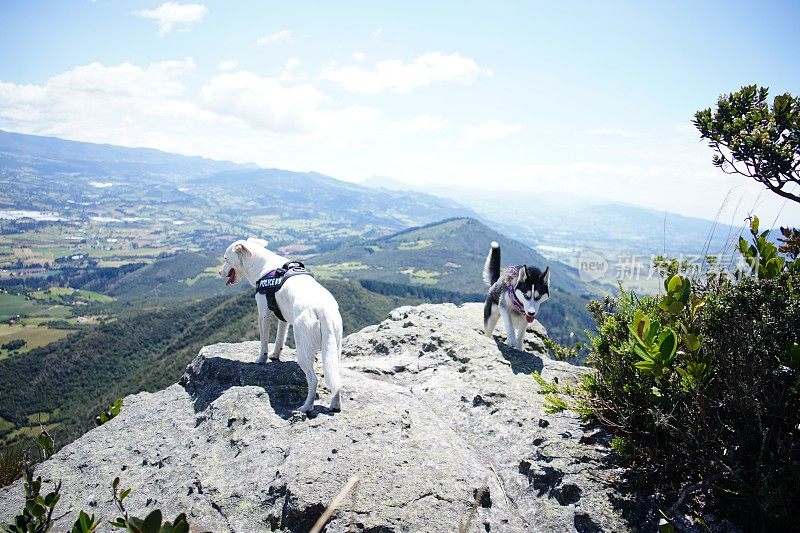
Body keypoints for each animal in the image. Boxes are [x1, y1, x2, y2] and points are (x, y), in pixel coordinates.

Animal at [219, 238, 344, 412]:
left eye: (226, 258)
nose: (219, 272)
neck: (262, 264)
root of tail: (323, 310)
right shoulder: (282, 318)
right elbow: (279, 339)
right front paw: (275, 356)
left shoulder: (263, 313)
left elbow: (264, 342)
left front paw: (262, 359)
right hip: (334, 348)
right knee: (336, 378)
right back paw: (335, 405)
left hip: (303, 350)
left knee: (313, 380)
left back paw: (306, 407)